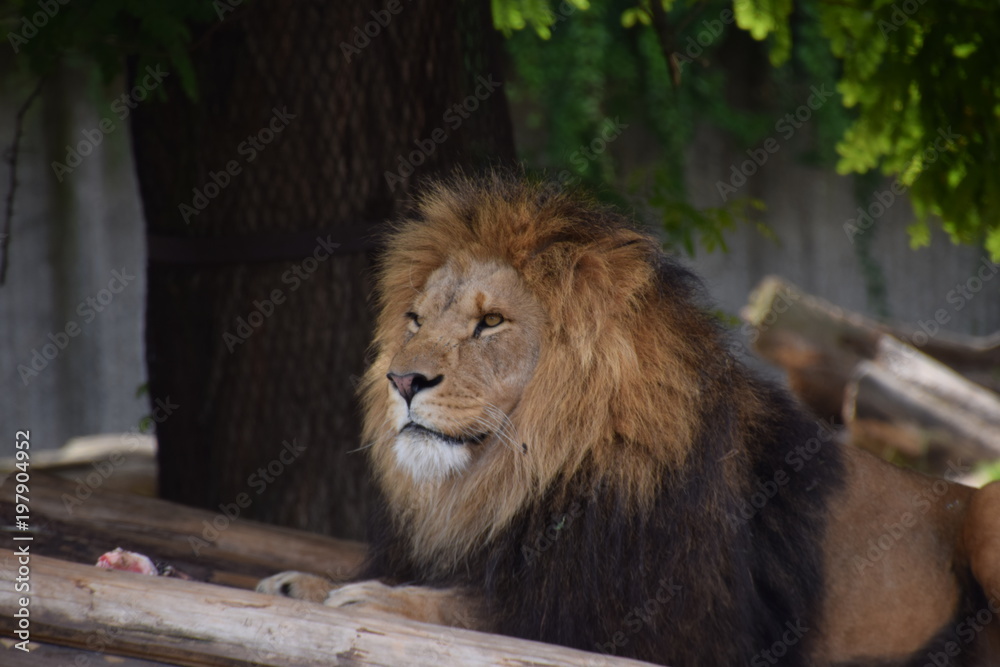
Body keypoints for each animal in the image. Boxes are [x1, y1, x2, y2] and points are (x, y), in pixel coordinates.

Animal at [259, 175, 1000, 665]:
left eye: (491, 321)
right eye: (414, 319)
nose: (402, 380)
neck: (521, 475)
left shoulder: (678, 630)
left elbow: (489, 610)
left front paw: (372, 598)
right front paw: (304, 583)